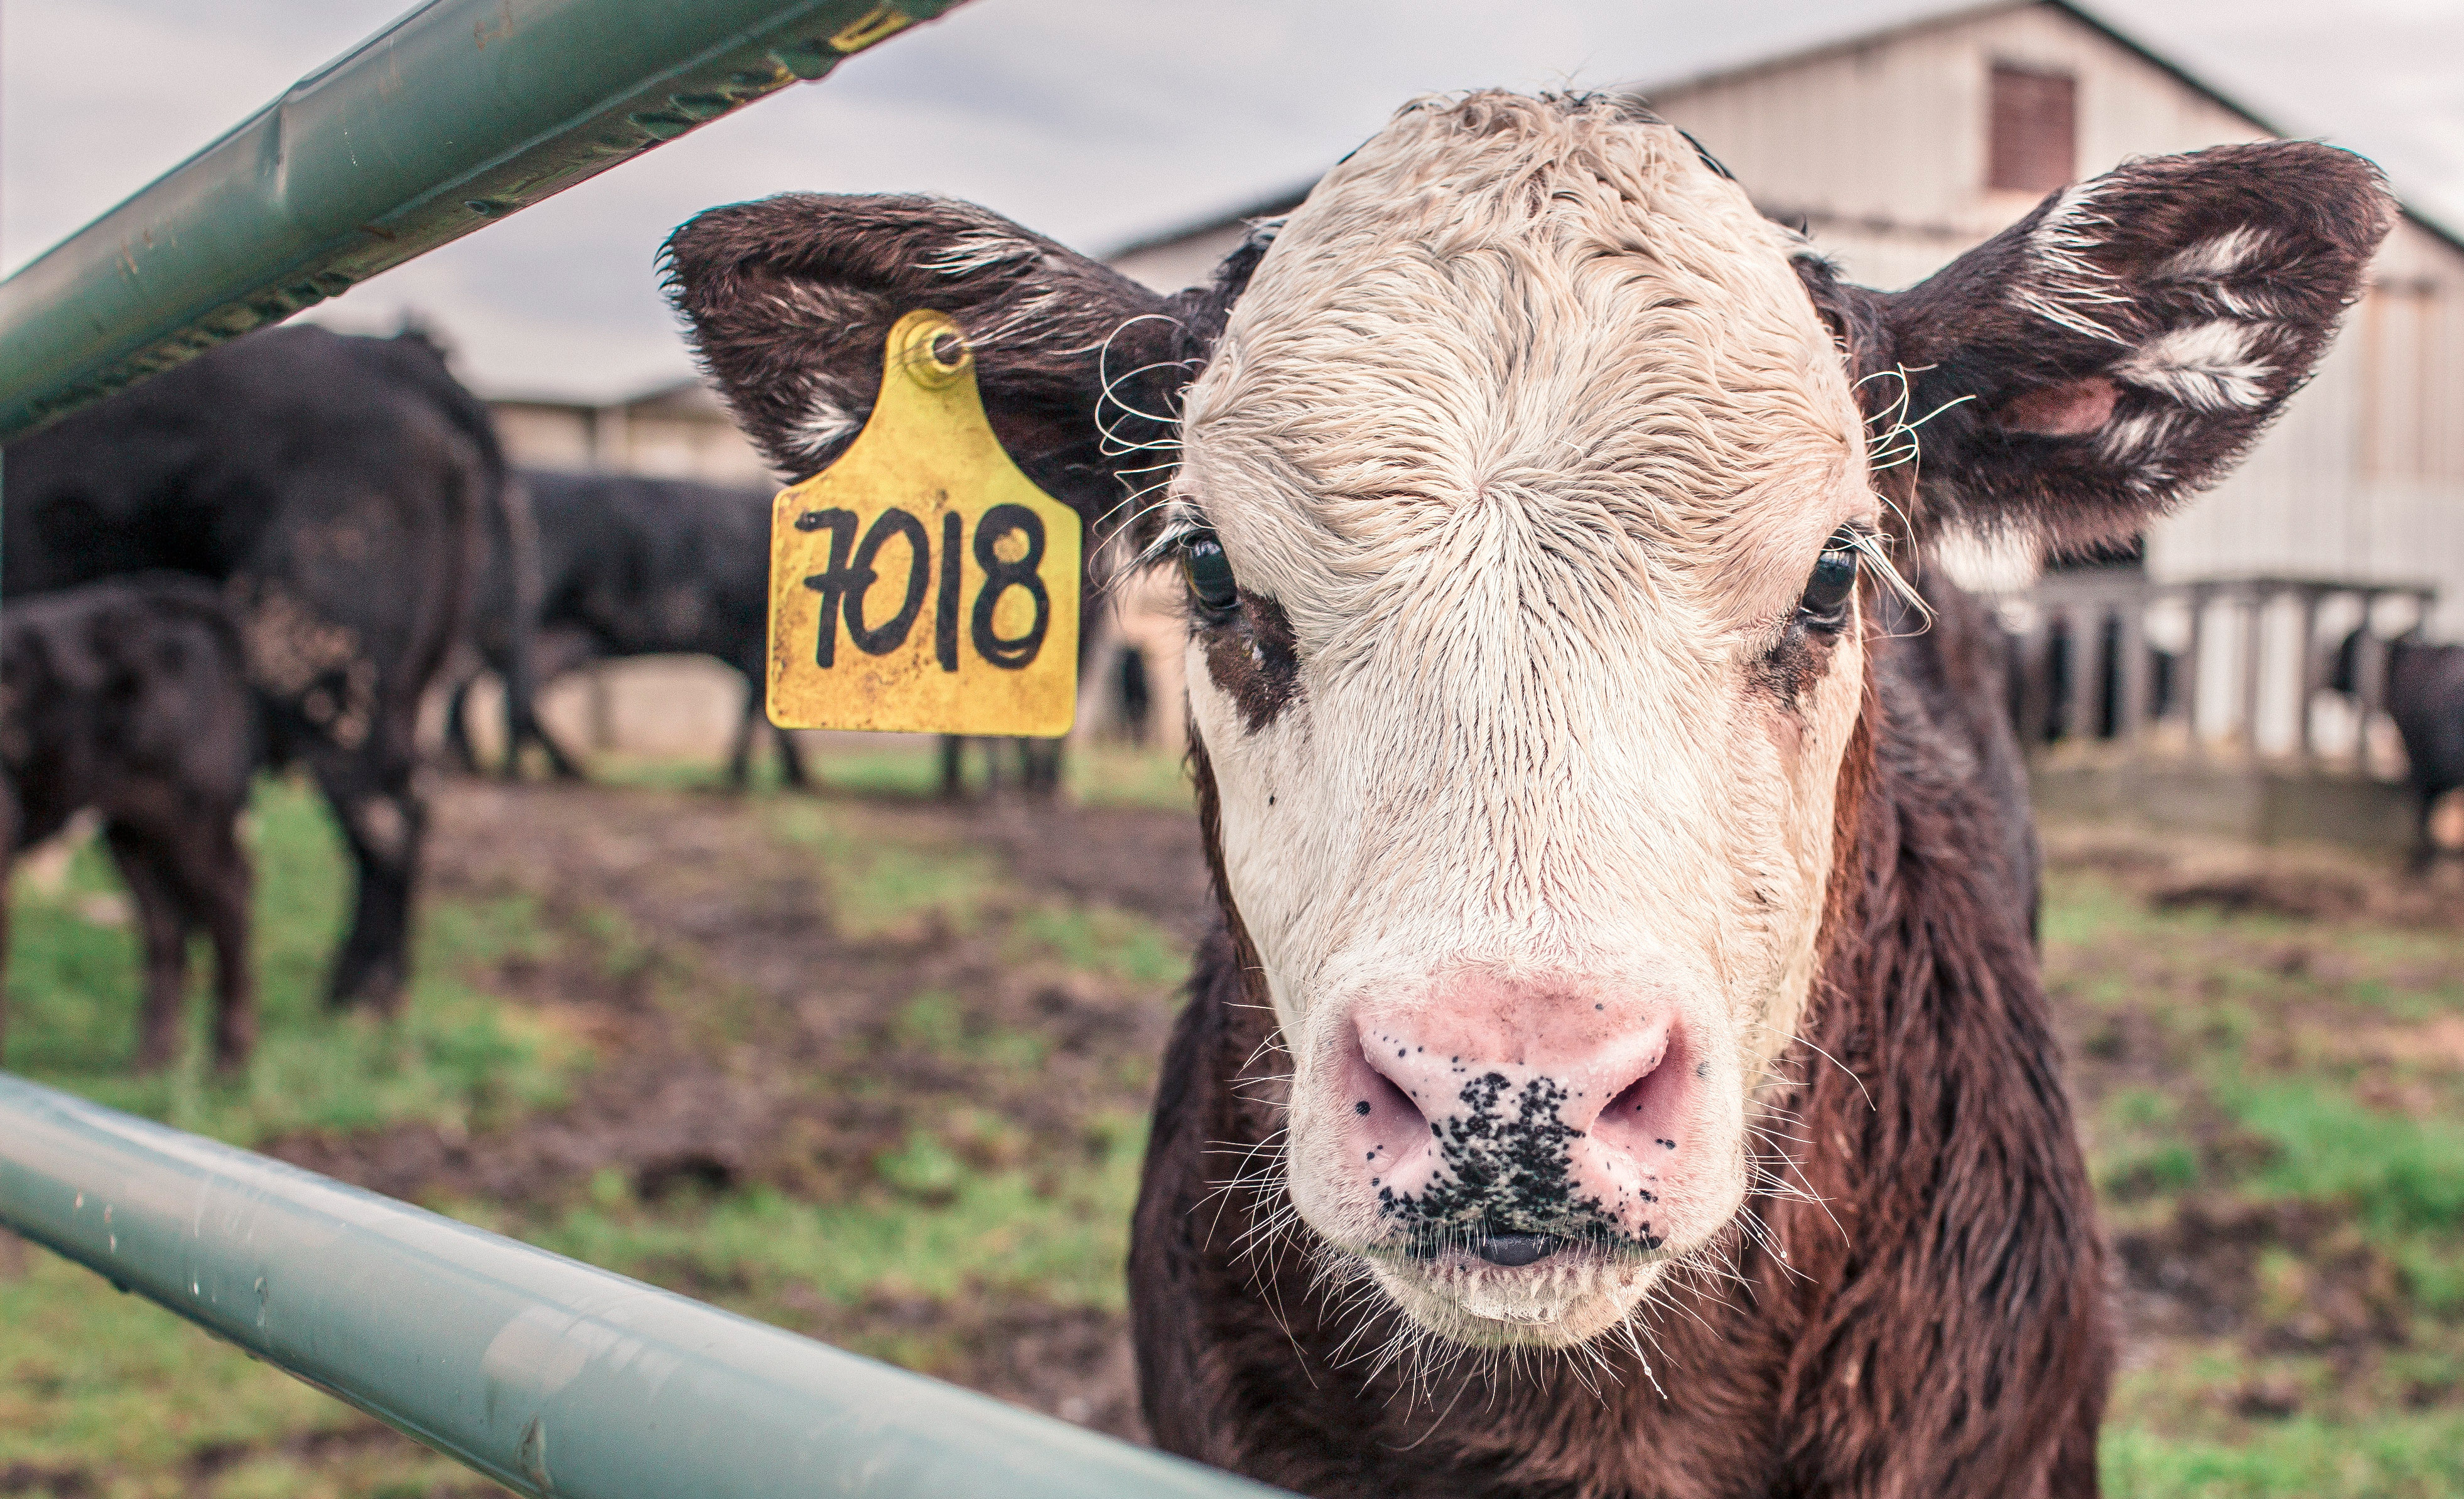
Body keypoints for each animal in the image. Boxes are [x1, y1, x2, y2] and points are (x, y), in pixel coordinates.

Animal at [0, 576, 255, 1073]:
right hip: (133, 830)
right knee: (165, 925)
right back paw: (153, 1060)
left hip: (194, 817)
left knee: (230, 903)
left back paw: (228, 1062)